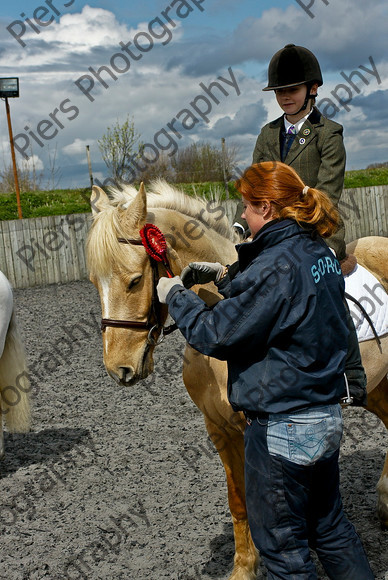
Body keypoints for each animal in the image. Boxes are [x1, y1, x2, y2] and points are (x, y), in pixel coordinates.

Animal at [87, 181, 388, 580]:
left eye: (135, 280)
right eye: (94, 282)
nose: (118, 369)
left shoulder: (253, 432)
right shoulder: (218, 428)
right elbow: (238, 501)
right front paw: (244, 568)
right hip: (375, 387)